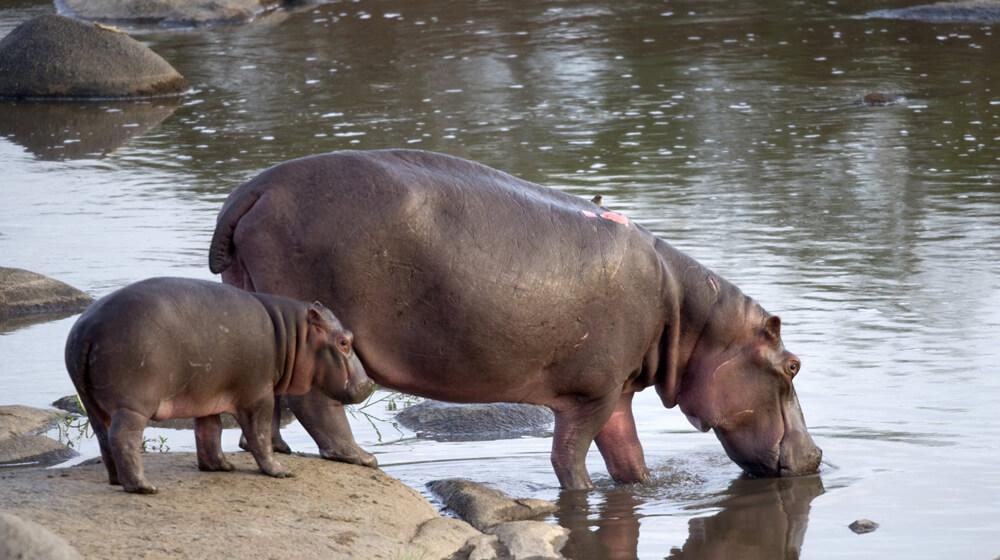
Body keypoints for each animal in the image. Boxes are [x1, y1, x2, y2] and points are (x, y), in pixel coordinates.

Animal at [64, 277, 373, 494]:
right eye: (344, 341)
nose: (369, 384)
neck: (291, 334)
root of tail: (86, 330)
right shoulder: (258, 395)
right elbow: (259, 435)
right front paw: (280, 471)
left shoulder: (207, 396)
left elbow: (210, 432)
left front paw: (221, 467)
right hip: (133, 406)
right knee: (123, 438)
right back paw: (144, 487)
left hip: (91, 403)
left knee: (104, 437)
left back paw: (117, 480)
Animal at [208, 149, 822, 489]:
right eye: (793, 365)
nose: (817, 456)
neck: (694, 321)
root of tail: (251, 190)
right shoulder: (591, 394)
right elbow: (569, 459)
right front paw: (581, 491)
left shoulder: (618, 391)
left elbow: (629, 457)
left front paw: (642, 489)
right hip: (317, 326)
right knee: (316, 402)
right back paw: (360, 458)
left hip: (258, 306)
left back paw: (279, 451)